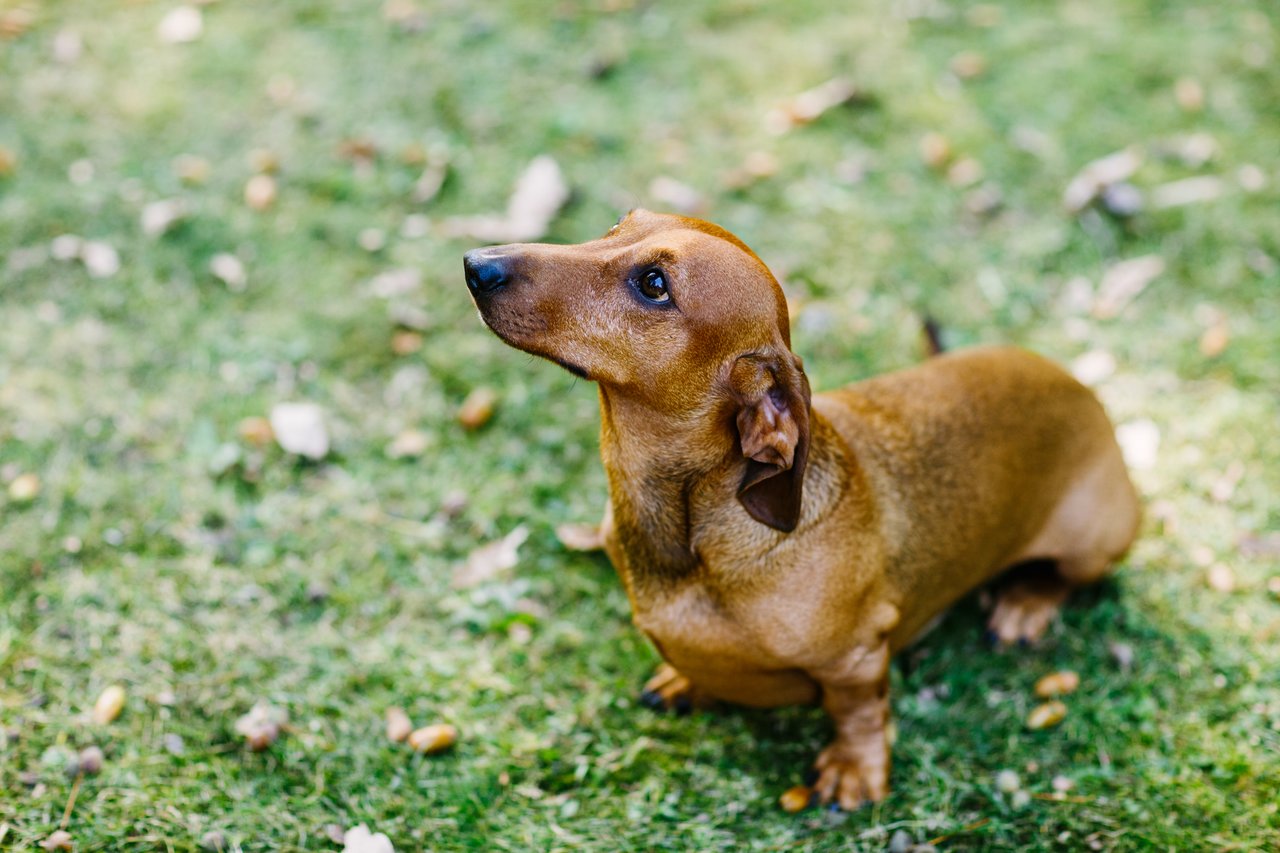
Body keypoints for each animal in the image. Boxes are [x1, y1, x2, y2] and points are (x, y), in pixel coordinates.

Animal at [463, 208, 1141, 809]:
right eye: (614, 228)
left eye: (654, 285)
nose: (476, 264)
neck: (702, 528)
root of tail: (1076, 385)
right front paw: (687, 680)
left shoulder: (856, 658)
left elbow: (859, 711)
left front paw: (855, 770)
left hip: (1093, 539)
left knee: (1068, 577)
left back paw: (1025, 603)